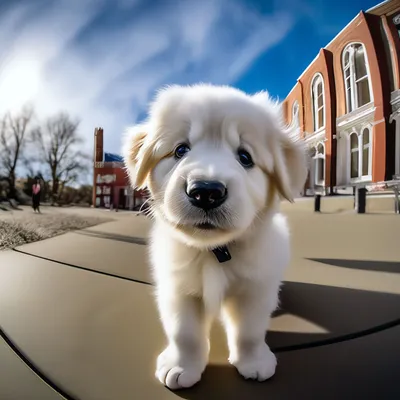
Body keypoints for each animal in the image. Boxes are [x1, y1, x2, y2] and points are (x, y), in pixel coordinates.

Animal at [123, 83, 308, 390]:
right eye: (180, 150)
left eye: (245, 157)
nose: (206, 191)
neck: (213, 250)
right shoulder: (177, 288)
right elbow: (184, 333)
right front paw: (181, 366)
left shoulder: (255, 289)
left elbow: (250, 331)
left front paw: (253, 362)